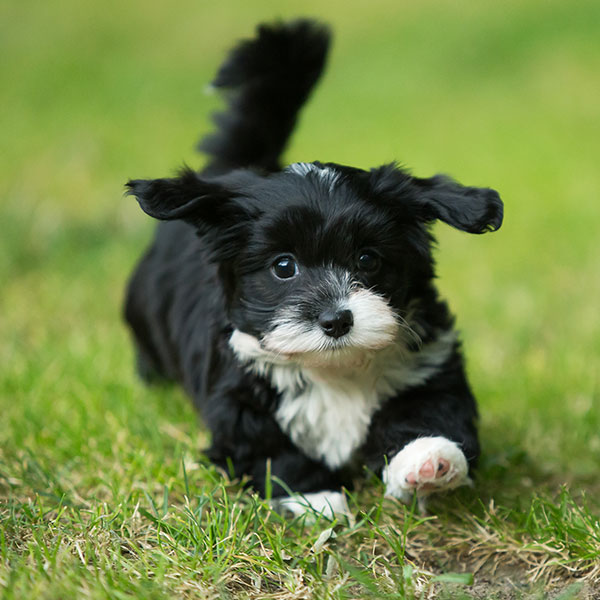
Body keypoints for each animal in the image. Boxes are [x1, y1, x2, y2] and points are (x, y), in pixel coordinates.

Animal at [125, 18, 502, 516]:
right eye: (284, 267)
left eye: (367, 259)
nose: (336, 320)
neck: (335, 369)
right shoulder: (238, 397)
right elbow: (269, 450)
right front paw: (316, 496)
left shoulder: (430, 363)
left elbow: (431, 412)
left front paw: (429, 460)